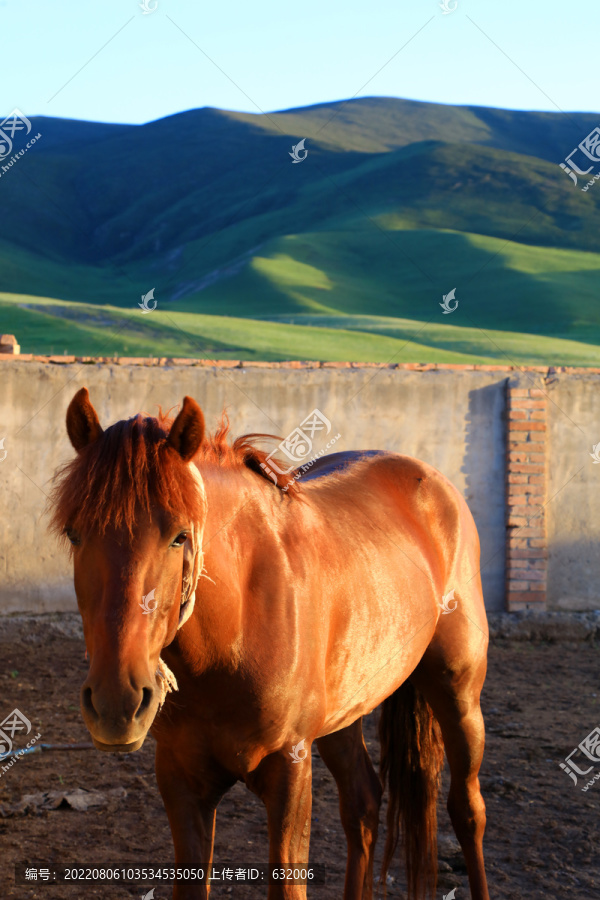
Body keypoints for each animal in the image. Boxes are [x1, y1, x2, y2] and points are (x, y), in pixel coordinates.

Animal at [50, 390, 492, 900]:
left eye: (179, 536)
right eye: (75, 533)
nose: (115, 704)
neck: (237, 632)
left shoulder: (290, 771)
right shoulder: (180, 779)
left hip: (458, 696)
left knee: (467, 811)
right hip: (345, 710)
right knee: (363, 803)